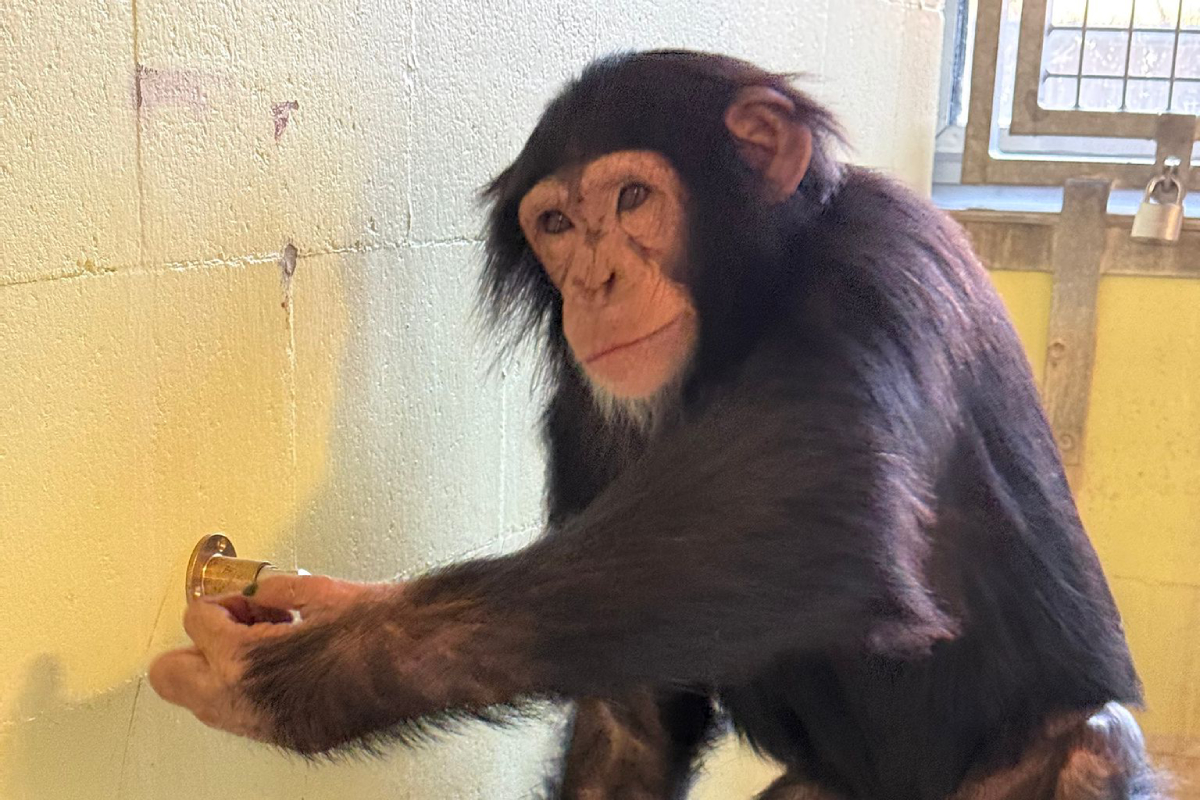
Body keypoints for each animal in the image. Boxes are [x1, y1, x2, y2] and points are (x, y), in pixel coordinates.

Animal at [149, 50, 1165, 800]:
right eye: (557, 223)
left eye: (633, 200)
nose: (595, 282)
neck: (743, 314)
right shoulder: (585, 413)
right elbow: (630, 714)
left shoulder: (888, 259)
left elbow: (814, 502)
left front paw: (298, 670)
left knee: (1090, 746)